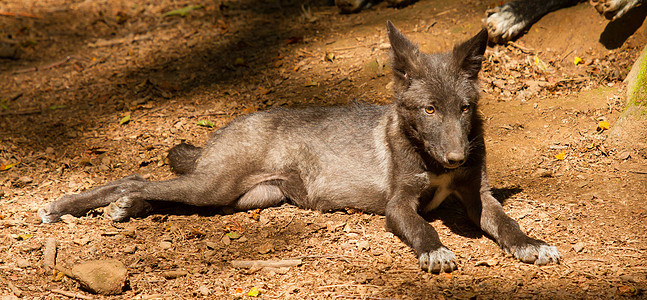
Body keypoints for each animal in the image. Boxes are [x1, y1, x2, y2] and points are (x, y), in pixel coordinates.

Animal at [39, 21, 560, 274]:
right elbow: (423, 229)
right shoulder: (398, 205)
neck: (431, 160)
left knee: (157, 191)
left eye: (464, 110)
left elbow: (507, 222)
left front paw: (530, 243)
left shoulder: (478, 195)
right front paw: (435, 252)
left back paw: (129, 208)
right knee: (135, 176)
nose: (456, 157)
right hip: (215, 185)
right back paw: (68, 205)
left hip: (239, 199)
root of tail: (231, 125)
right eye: (429, 109)